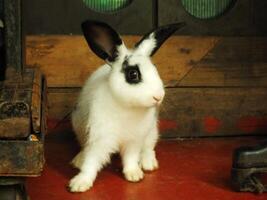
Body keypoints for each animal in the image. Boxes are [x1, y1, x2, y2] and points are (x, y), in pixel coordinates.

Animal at [69, 19, 185, 192]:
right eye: (133, 74)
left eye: (155, 69)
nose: (159, 96)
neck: (127, 106)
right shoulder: (100, 138)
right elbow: (91, 161)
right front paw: (79, 183)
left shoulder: (134, 140)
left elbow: (131, 158)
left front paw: (134, 174)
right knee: (84, 147)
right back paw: (78, 160)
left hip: (152, 132)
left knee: (149, 147)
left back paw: (148, 164)